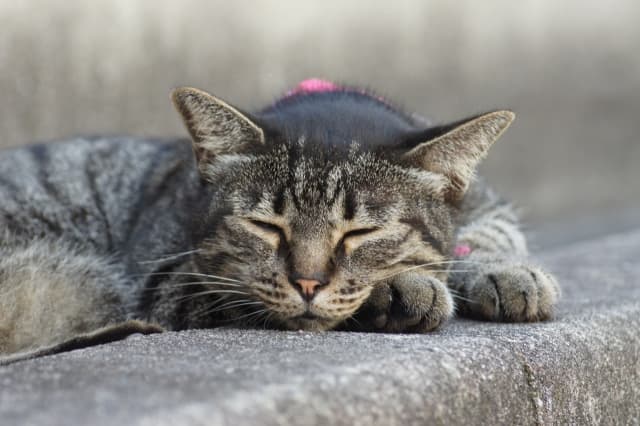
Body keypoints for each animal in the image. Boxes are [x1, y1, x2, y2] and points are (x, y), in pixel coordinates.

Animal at [0, 79, 556, 360]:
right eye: (266, 226)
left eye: (362, 231)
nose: (308, 283)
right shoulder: (165, 278)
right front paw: (401, 290)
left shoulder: (486, 200)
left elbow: (490, 228)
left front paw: (507, 272)